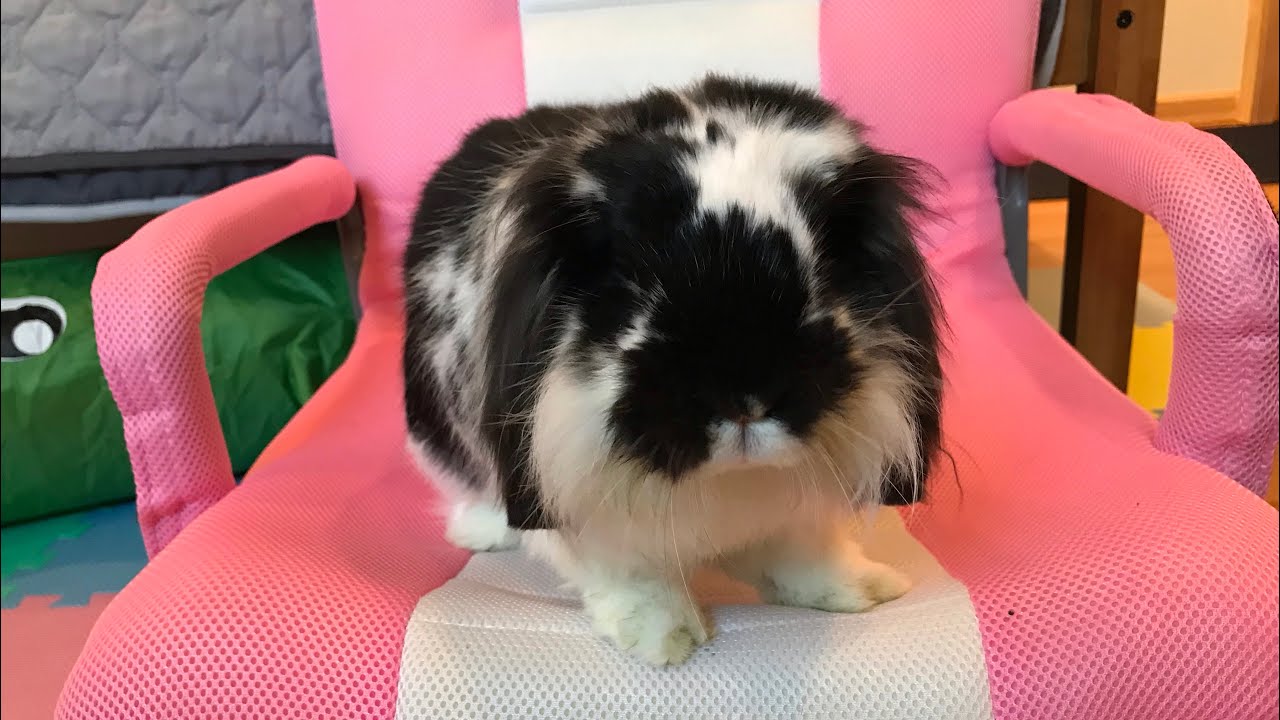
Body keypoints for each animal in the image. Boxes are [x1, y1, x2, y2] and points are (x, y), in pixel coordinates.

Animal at [403, 75, 943, 666]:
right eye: (634, 280)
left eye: (823, 268)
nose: (745, 398)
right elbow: (632, 578)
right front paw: (668, 639)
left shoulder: (794, 515)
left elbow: (804, 554)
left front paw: (867, 589)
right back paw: (483, 532)